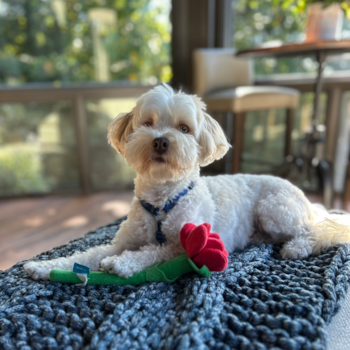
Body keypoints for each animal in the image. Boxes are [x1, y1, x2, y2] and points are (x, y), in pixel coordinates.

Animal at [23, 83, 350, 280]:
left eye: (184, 128)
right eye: (148, 123)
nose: (160, 141)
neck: (162, 202)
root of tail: (304, 197)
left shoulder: (184, 246)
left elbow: (153, 251)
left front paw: (122, 263)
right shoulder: (122, 241)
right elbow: (88, 254)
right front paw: (44, 267)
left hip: (274, 210)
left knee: (313, 231)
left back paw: (297, 247)